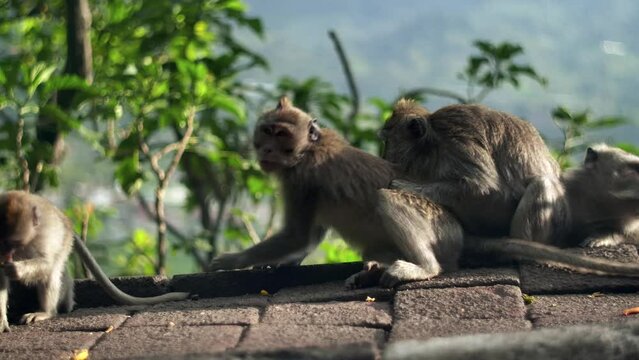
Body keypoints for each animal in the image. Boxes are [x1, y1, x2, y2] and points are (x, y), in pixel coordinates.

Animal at [0, 190, 190, 334]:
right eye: (3, 243)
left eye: (14, 243)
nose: (5, 256)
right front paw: (2, 321)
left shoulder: (43, 238)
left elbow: (48, 264)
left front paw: (16, 269)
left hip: (65, 240)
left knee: (53, 272)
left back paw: (47, 312)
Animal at [210, 97, 464, 288]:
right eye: (267, 130)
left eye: (281, 134)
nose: (267, 149)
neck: (307, 149)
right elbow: (313, 232)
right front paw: (280, 263)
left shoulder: (301, 179)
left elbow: (296, 236)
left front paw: (231, 260)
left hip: (441, 227)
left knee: (387, 199)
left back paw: (422, 268)